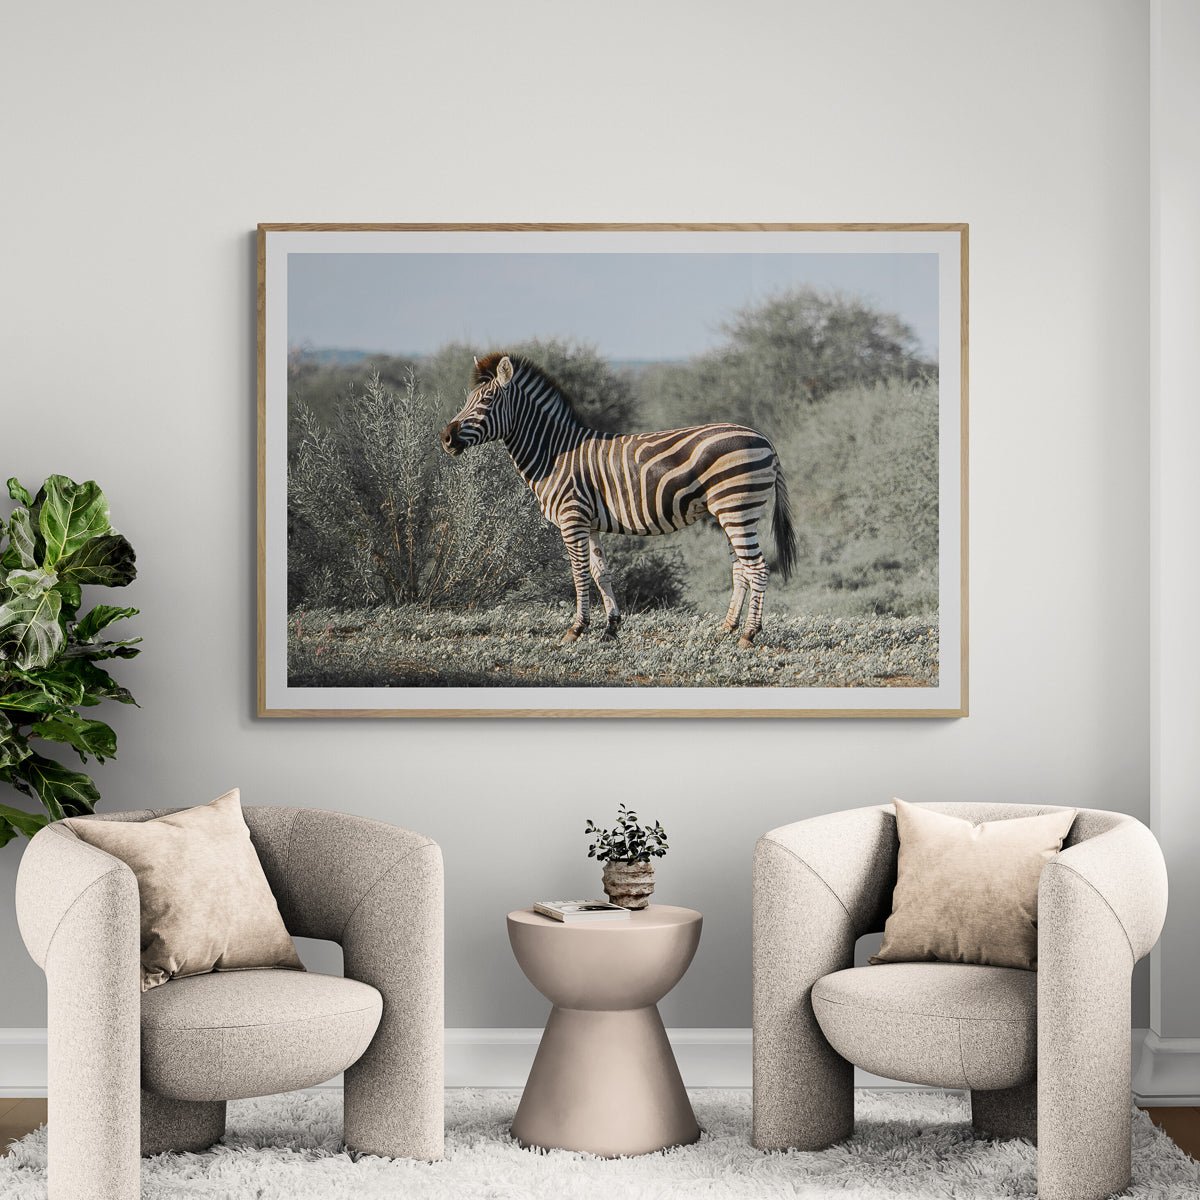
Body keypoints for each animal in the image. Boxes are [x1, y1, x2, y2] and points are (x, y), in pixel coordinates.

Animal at [439, 353, 797, 648]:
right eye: (469, 399)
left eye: (486, 401)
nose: (446, 438)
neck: (553, 454)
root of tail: (765, 440)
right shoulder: (590, 524)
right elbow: (601, 574)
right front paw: (610, 628)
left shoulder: (572, 519)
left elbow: (579, 574)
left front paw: (576, 629)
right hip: (729, 513)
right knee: (741, 568)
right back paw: (727, 628)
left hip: (737, 509)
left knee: (757, 568)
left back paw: (749, 634)